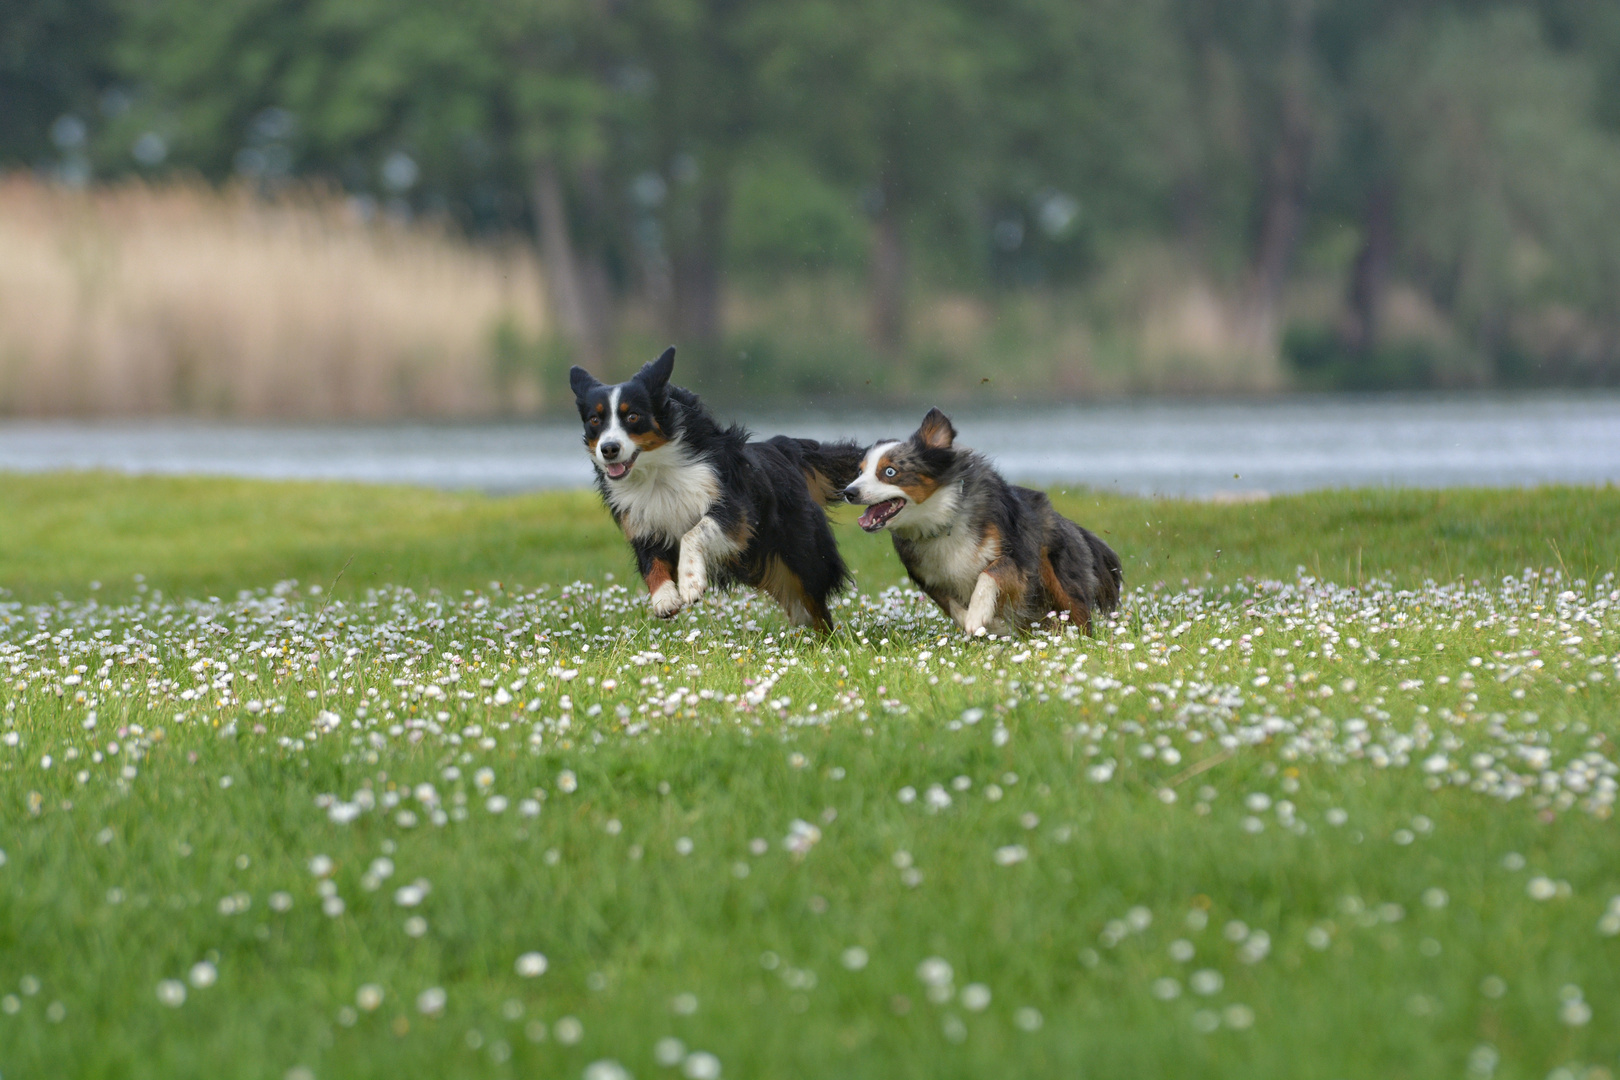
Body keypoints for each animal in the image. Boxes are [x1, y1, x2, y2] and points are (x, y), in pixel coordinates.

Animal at [573, 346, 868, 634]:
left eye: (633, 416)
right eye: (594, 420)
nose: (609, 449)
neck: (657, 471)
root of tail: (783, 448)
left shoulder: (733, 509)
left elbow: (693, 532)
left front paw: (690, 582)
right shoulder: (642, 523)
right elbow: (650, 563)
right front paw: (664, 598)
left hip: (802, 555)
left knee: (817, 605)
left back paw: (827, 641)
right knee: (799, 607)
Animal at [842, 409, 1121, 637]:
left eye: (890, 472)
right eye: (860, 471)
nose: (849, 492)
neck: (943, 520)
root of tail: (1068, 523)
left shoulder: (1017, 558)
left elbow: (990, 574)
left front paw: (978, 616)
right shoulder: (932, 579)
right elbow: (953, 607)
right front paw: (984, 625)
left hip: (1058, 577)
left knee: (1078, 613)